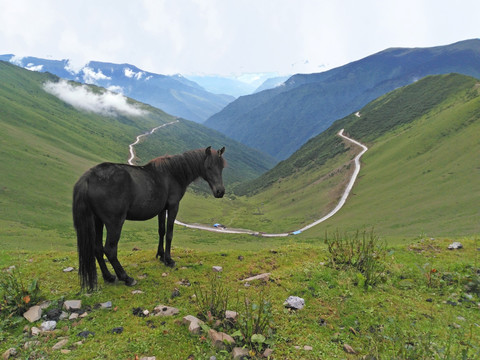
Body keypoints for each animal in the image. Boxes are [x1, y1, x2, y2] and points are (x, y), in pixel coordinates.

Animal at [72, 145, 226, 292]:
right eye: (209, 167)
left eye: (222, 167)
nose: (220, 192)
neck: (173, 173)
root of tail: (87, 178)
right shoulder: (173, 207)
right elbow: (169, 234)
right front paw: (169, 260)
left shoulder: (162, 210)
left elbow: (161, 231)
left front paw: (161, 255)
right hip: (114, 223)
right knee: (110, 250)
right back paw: (126, 278)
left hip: (97, 221)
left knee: (97, 248)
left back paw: (109, 277)